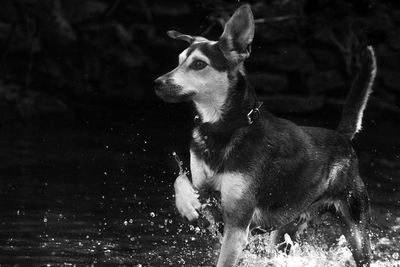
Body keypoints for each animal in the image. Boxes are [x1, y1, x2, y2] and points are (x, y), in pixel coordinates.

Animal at [153, 4, 376, 267]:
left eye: (199, 64)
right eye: (178, 62)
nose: (157, 83)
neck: (222, 128)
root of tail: (342, 137)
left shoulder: (238, 222)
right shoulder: (206, 193)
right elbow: (180, 180)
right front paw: (187, 204)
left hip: (356, 227)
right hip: (285, 231)